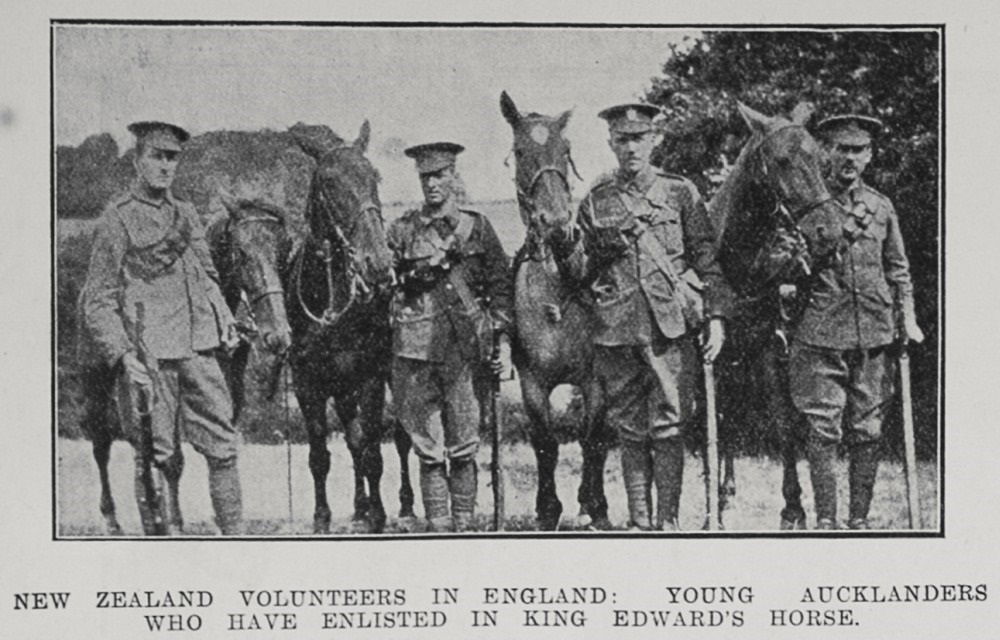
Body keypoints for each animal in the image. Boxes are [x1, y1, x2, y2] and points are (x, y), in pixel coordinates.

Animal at [77, 191, 292, 536]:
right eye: (242, 253)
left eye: (283, 252)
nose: (279, 335)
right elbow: (171, 458)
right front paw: (172, 520)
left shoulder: (227, 397)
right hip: (96, 383)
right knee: (104, 444)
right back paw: (114, 519)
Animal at [282, 122, 398, 532]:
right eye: (330, 183)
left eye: (375, 177)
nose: (378, 264)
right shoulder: (307, 384)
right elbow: (320, 454)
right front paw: (322, 518)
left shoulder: (371, 377)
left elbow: (373, 451)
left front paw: (378, 516)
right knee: (351, 438)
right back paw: (358, 506)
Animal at [498, 90, 612, 528]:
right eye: (519, 151)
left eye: (566, 151)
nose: (558, 225)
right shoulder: (533, 383)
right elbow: (545, 443)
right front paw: (548, 510)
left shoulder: (596, 381)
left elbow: (593, 440)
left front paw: (596, 507)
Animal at [704, 101, 844, 528]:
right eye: (782, 160)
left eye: (823, 161)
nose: (830, 234)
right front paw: (714, 506)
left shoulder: (765, 349)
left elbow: (783, 425)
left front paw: (793, 507)